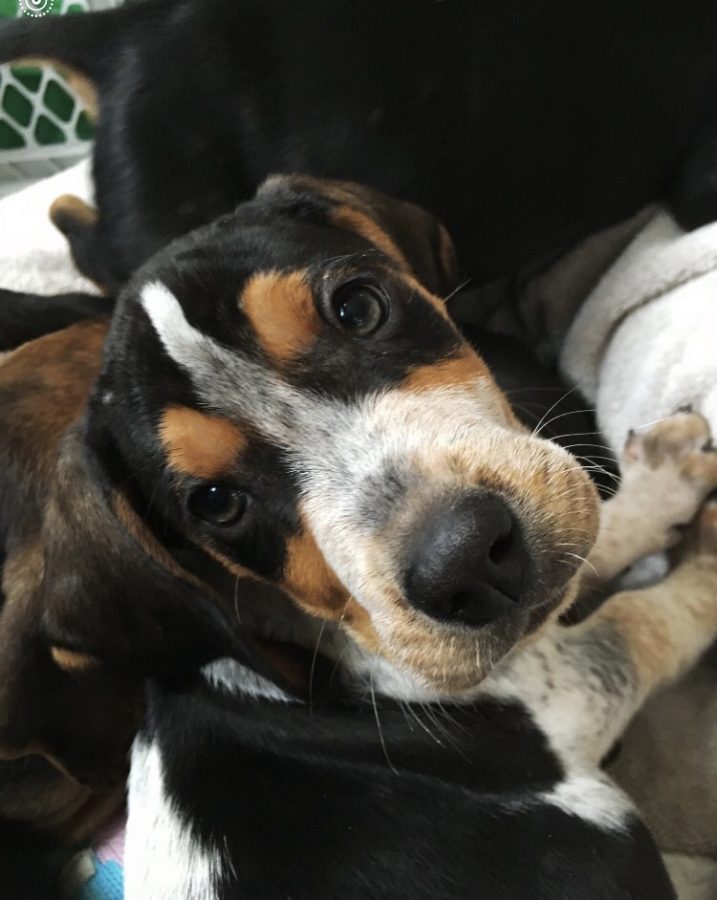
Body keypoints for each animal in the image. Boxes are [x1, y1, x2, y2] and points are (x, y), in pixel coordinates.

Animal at [1, 178, 716, 900]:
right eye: (216, 503)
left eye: (357, 307)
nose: (465, 561)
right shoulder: (569, 694)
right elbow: (633, 624)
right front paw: (690, 520)